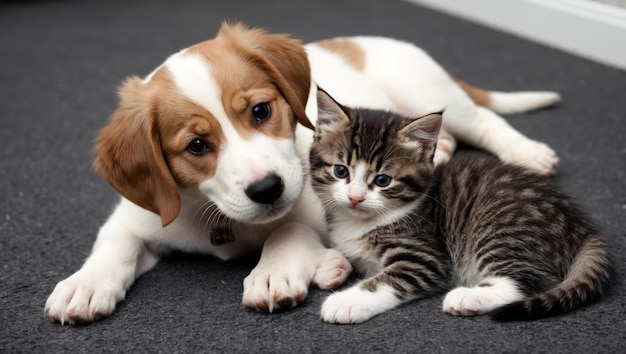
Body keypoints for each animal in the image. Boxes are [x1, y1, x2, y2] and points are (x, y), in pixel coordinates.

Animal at [46, 22, 560, 324]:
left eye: (260, 110)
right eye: (197, 146)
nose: (267, 189)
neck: (221, 219)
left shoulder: (317, 205)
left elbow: (287, 229)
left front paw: (272, 272)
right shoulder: (140, 213)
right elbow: (115, 241)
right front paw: (84, 284)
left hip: (425, 91)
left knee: (482, 120)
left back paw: (527, 151)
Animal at [308, 89, 608, 324]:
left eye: (383, 180)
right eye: (340, 171)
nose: (355, 197)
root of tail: (580, 226)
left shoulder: (426, 257)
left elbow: (385, 280)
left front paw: (347, 302)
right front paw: (329, 268)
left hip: (499, 227)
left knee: (525, 280)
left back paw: (468, 297)